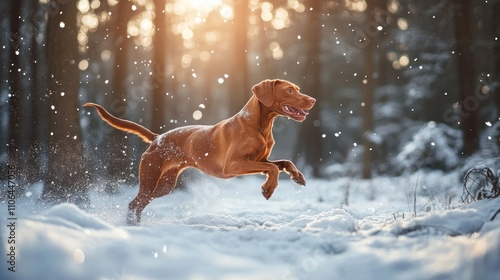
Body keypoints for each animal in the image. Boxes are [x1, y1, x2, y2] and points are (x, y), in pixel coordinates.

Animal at [83, 79, 314, 225]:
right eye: (289, 90)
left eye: (297, 89)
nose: (312, 100)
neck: (260, 125)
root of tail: (157, 138)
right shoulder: (233, 165)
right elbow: (272, 169)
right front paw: (268, 188)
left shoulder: (260, 160)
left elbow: (283, 163)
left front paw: (297, 176)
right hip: (150, 176)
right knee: (134, 202)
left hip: (165, 185)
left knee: (139, 204)